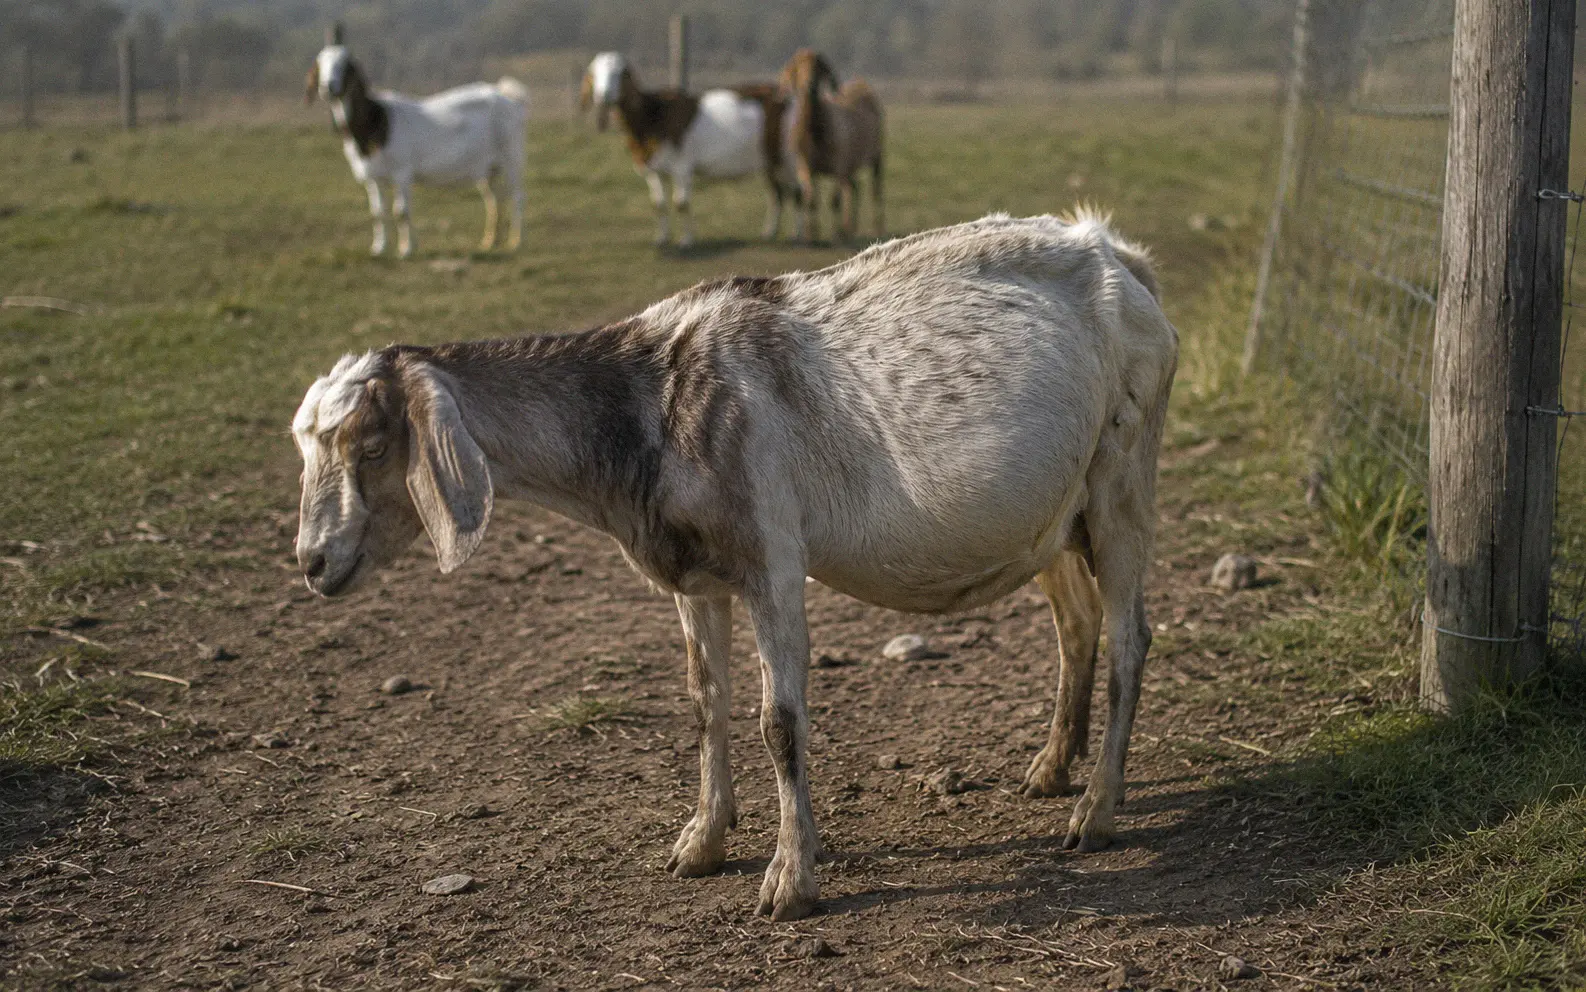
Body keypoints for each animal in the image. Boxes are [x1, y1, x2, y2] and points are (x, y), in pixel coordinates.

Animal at [292, 211, 1177, 921]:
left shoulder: (772, 563)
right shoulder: (695, 578)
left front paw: (791, 881)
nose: (312, 561)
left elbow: (778, 721)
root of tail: (1118, 252)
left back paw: (1095, 812)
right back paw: (1052, 769)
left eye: (369, 445)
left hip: (1123, 477)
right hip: (1053, 512)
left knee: (1131, 637)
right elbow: (703, 702)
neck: (650, 402)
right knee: (1077, 622)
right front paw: (702, 842)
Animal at [306, 43, 529, 258]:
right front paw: (379, 248)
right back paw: (489, 242)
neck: (376, 123)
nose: (328, 87)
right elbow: (377, 212)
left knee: (517, 196)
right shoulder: (372, 178)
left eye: (345, 65)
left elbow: (401, 212)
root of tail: (510, 98)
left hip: (511, 154)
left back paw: (516, 242)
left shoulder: (402, 172)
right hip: (488, 167)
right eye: (321, 64)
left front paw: (406, 250)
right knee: (494, 199)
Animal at [581, 52, 788, 247]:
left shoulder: (681, 165)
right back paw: (770, 232)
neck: (653, 117)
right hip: (768, 161)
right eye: (594, 73)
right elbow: (658, 204)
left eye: (619, 73)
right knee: (776, 193)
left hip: (786, 155)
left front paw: (687, 241)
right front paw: (662, 238)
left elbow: (681, 203)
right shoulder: (653, 169)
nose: (603, 95)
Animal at [778, 49, 884, 243]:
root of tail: (861, 84)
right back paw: (850, 228)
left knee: (875, 190)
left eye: (818, 67)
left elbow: (834, 201)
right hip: (850, 165)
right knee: (855, 187)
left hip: (877, 155)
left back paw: (875, 229)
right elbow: (811, 200)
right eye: (798, 67)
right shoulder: (806, 168)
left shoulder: (838, 167)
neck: (815, 133)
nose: (810, 85)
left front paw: (835, 235)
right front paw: (812, 235)